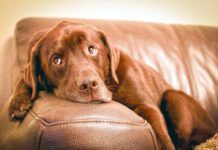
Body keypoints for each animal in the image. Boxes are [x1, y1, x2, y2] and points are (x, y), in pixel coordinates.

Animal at [7, 20, 215, 149]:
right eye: (56, 60)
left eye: (91, 49)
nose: (89, 84)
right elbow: (24, 78)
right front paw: (17, 104)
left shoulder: (147, 107)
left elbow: (162, 136)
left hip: (174, 96)